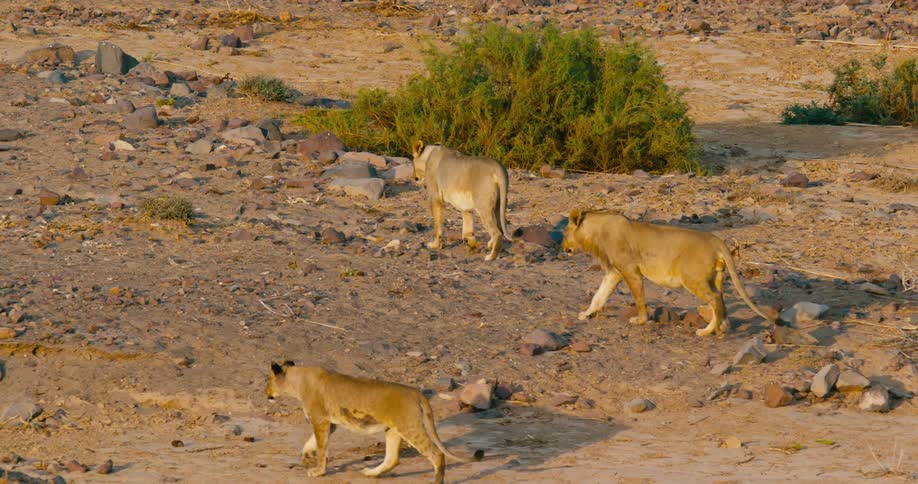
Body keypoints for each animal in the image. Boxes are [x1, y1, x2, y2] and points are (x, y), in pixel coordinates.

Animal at [265, 361, 479, 483]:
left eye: (268, 381)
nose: (266, 393)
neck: (297, 380)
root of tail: (416, 393)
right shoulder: (330, 423)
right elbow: (311, 442)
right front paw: (306, 456)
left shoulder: (321, 420)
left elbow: (321, 447)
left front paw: (318, 471)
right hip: (393, 429)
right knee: (392, 459)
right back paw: (371, 473)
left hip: (411, 428)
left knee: (436, 455)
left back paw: (436, 481)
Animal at [561, 209, 775, 336]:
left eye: (564, 233)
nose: (563, 248)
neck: (596, 234)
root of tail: (715, 239)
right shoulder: (614, 273)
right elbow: (599, 296)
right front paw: (586, 314)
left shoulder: (631, 271)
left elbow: (639, 299)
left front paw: (640, 320)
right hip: (716, 277)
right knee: (720, 299)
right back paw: (722, 326)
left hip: (692, 278)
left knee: (714, 299)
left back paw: (707, 331)